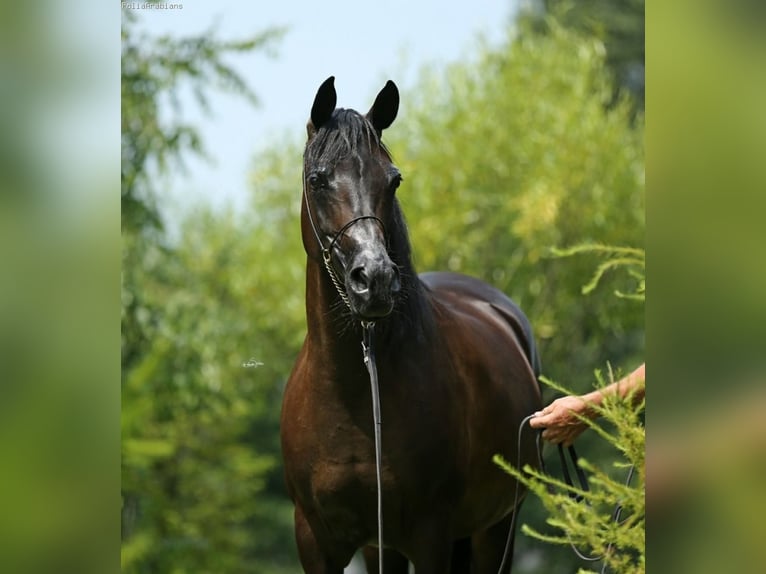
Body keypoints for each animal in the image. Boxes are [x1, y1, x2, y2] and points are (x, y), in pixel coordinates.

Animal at [284, 77, 544, 574]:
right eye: (317, 179)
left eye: (394, 179)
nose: (375, 280)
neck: (354, 391)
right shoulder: (317, 541)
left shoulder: (430, 537)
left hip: (496, 530)